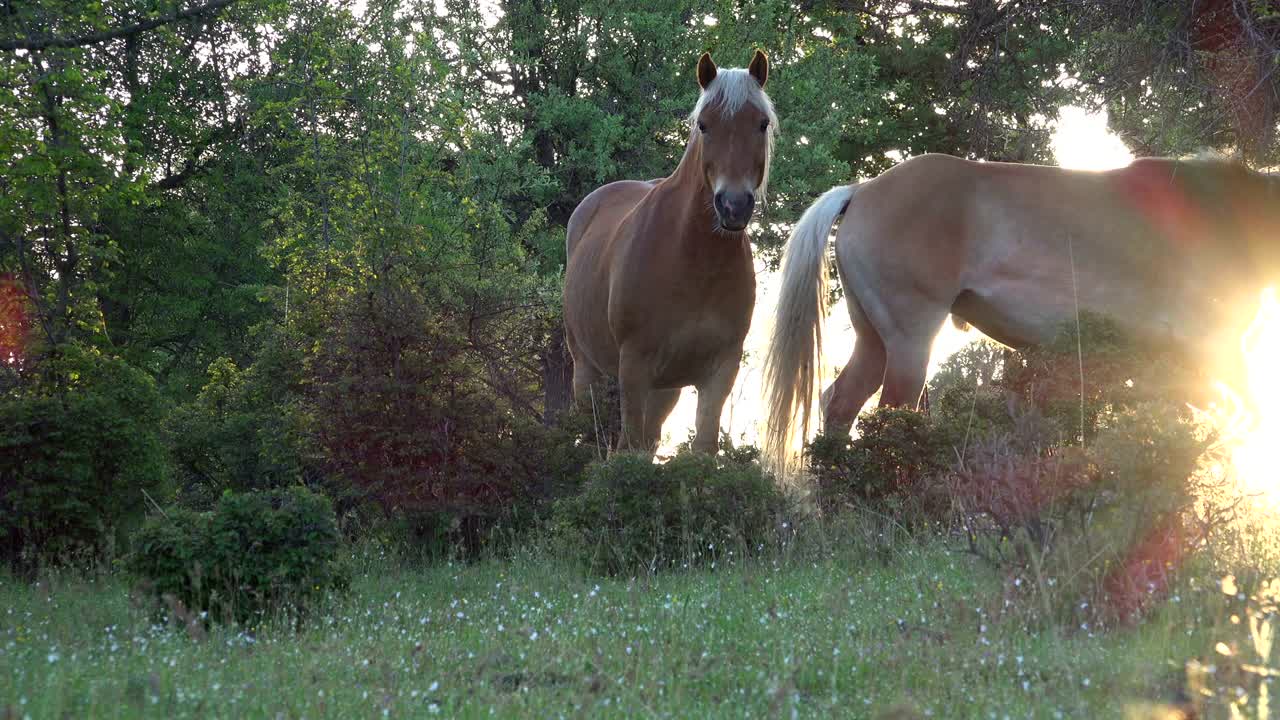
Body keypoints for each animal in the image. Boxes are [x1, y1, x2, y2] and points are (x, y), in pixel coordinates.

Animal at [562, 49, 778, 454]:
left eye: (761, 124)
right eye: (704, 125)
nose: (733, 205)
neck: (692, 260)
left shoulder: (720, 370)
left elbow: (702, 448)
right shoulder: (633, 366)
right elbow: (627, 449)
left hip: (666, 388)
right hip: (586, 366)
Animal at [763, 152, 1280, 469]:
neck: (1221, 217)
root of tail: (864, 190)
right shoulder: (1215, 347)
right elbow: (1245, 419)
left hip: (873, 340)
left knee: (840, 404)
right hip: (910, 342)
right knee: (891, 414)